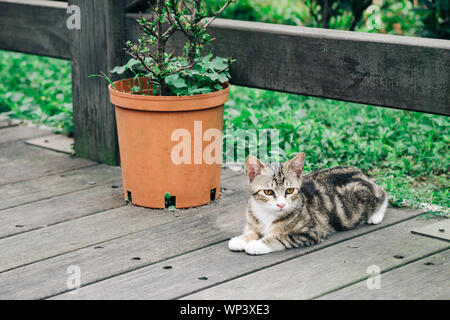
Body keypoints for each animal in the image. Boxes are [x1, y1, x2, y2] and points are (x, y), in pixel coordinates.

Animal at [229, 152, 386, 255]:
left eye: (290, 190)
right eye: (268, 192)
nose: (281, 205)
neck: (268, 214)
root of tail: (360, 172)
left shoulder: (310, 232)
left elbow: (281, 237)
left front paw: (258, 244)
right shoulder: (253, 221)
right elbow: (251, 230)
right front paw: (241, 240)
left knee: (382, 192)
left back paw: (375, 215)